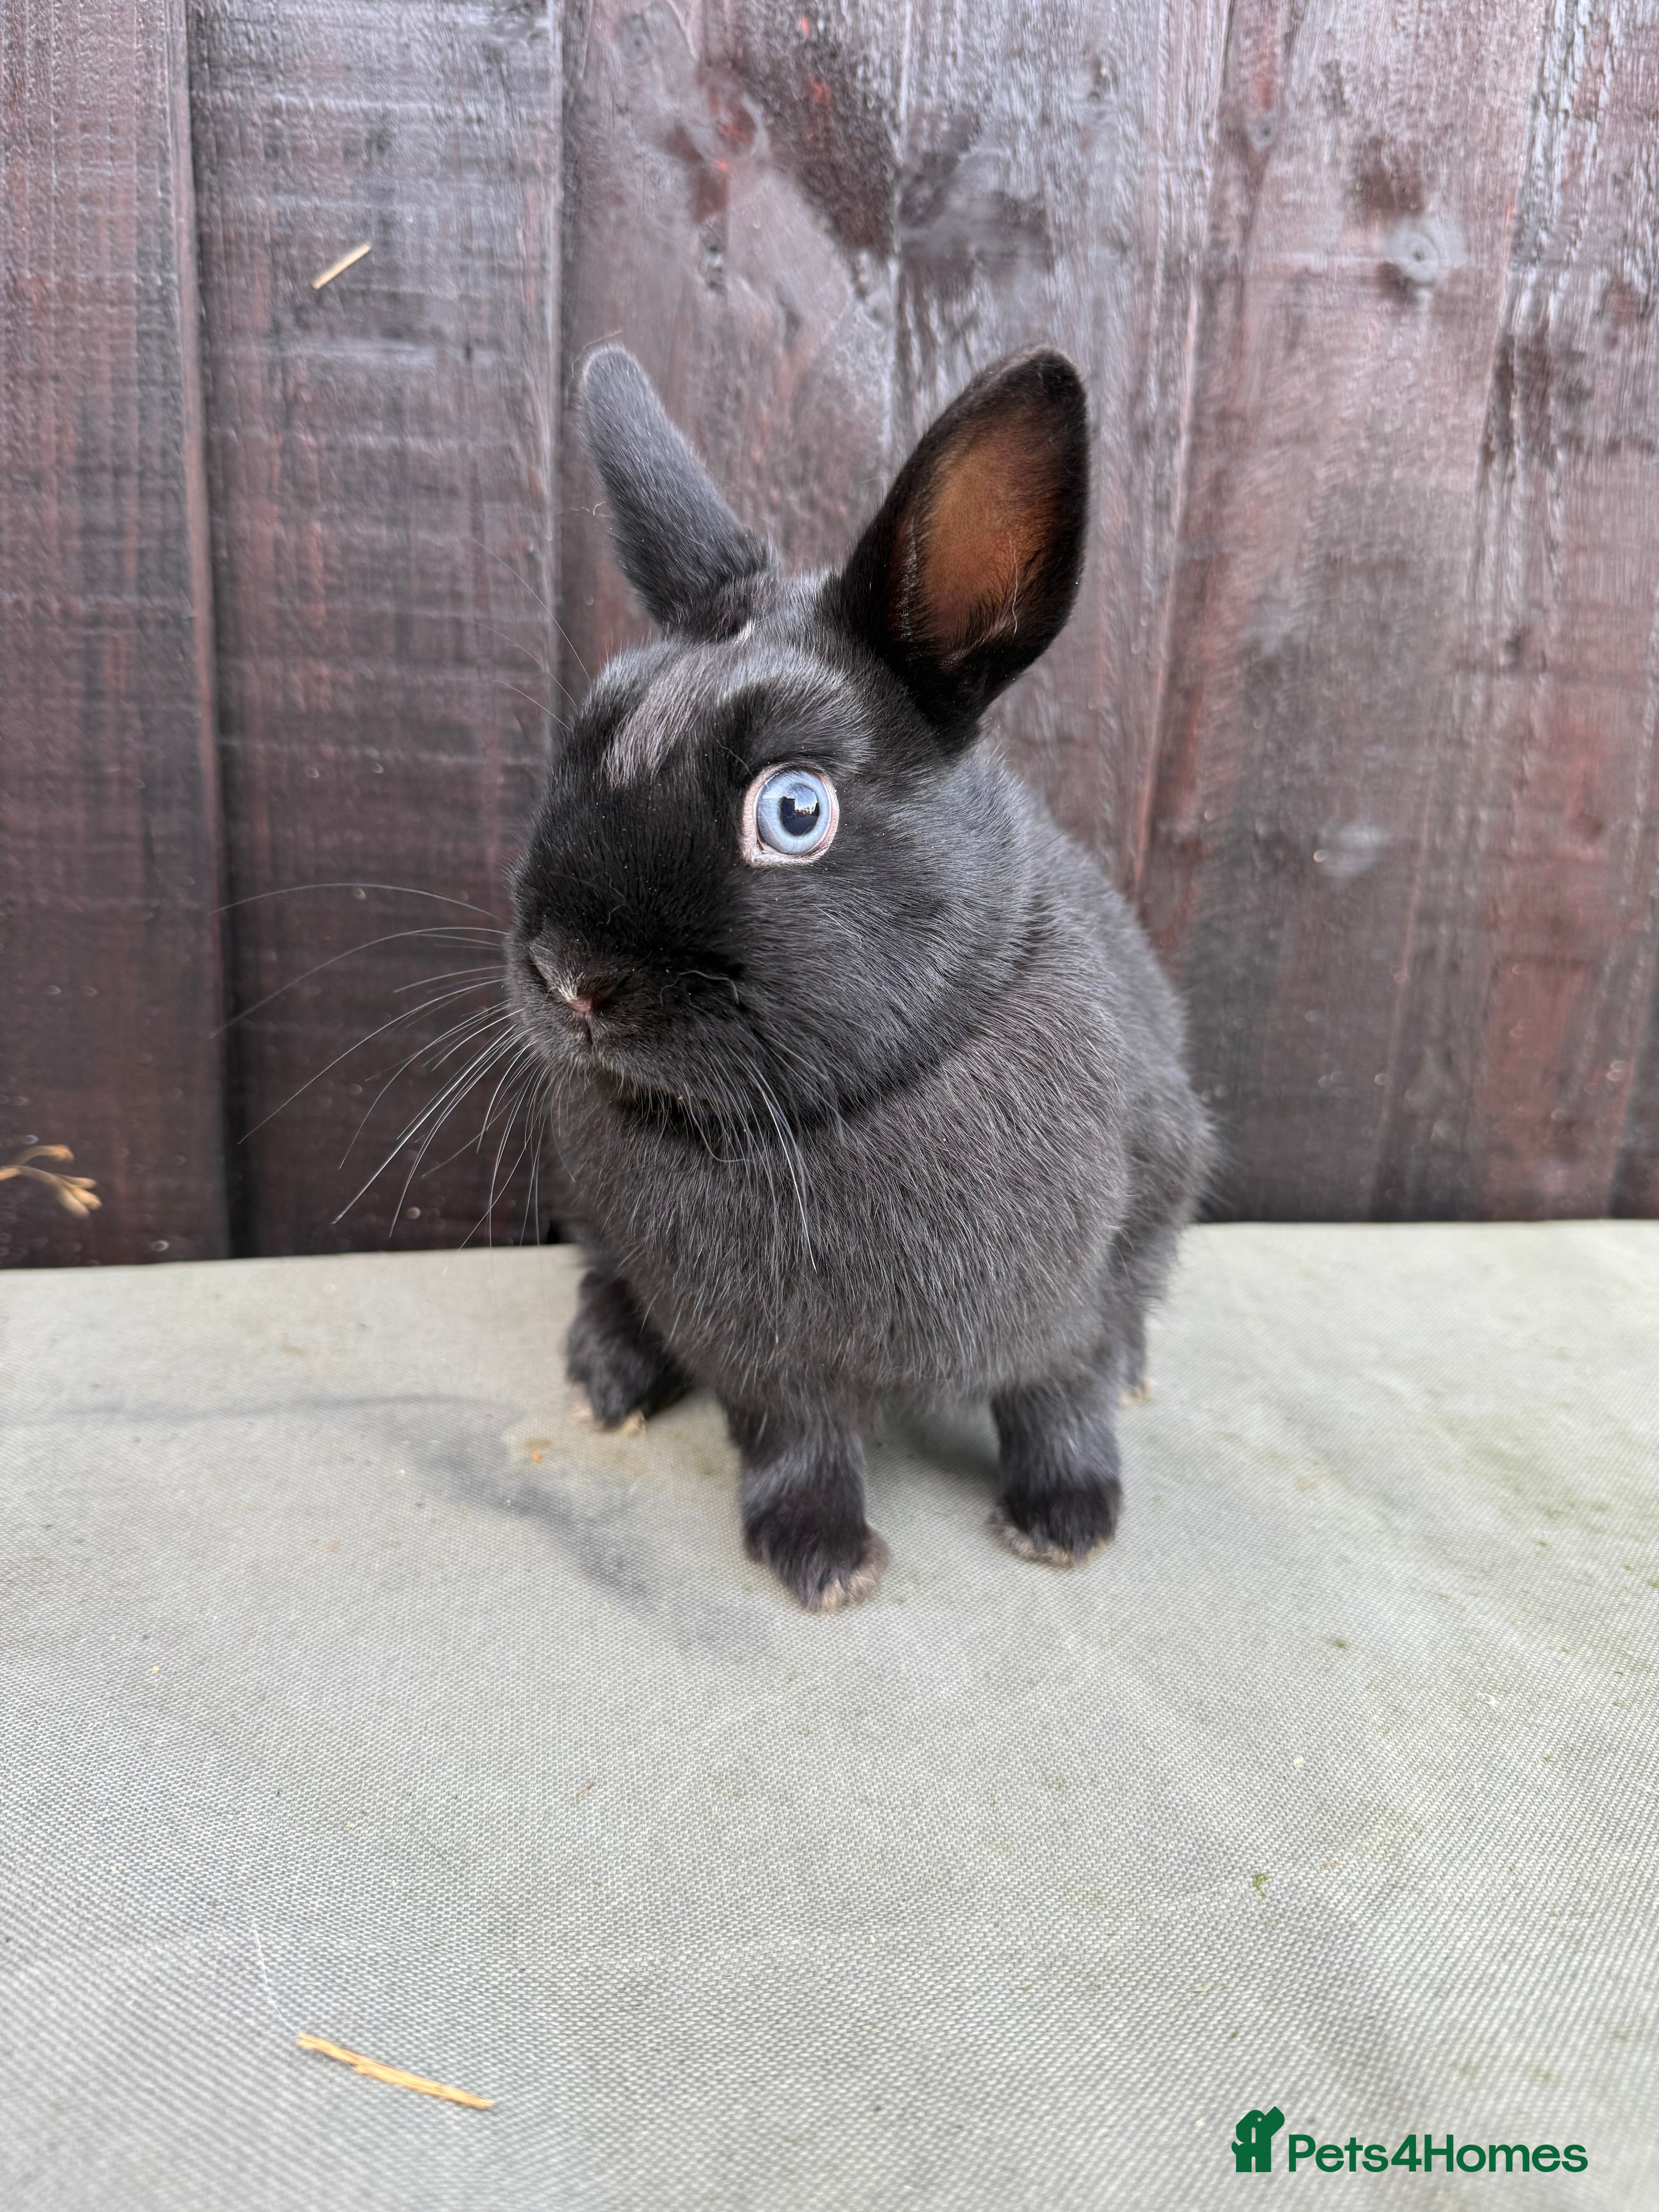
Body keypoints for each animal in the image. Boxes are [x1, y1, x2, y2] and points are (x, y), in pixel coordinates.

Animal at [506, 343, 1211, 1612]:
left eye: (795, 811)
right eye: (585, 741)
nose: (570, 975)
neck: (830, 1116)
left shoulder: (1082, 1291)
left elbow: (1064, 1399)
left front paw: (1069, 1521)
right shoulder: (762, 1358)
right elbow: (797, 1441)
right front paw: (824, 1558)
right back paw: (609, 1378)